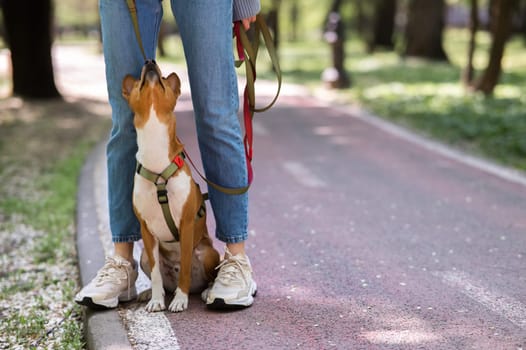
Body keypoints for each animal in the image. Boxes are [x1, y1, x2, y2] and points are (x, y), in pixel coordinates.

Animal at [122, 60, 220, 312]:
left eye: (164, 80)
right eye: (139, 82)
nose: (149, 61)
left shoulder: (185, 225)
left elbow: (184, 266)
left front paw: (180, 300)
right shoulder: (146, 230)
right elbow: (156, 274)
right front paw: (157, 300)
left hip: (207, 253)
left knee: (208, 277)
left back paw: (206, 292)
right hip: (144, 258)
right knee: (163, 280)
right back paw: (150, 293)